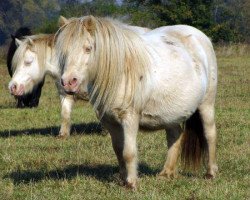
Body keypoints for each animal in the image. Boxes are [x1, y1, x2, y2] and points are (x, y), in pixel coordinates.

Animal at [55, 16, 218, 189]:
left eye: (88, 48)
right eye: (63, 52)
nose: (68, 82)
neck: (120, 72)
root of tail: (201, 37)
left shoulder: (130, 118)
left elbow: (128, 152)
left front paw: (131, 183)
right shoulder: (109, 121)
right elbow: (118, 149)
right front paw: (122, 178)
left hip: (206, 105)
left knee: (210, 135)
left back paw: (210, 173)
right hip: (171, 113)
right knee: (174, 135)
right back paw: (166, 173)